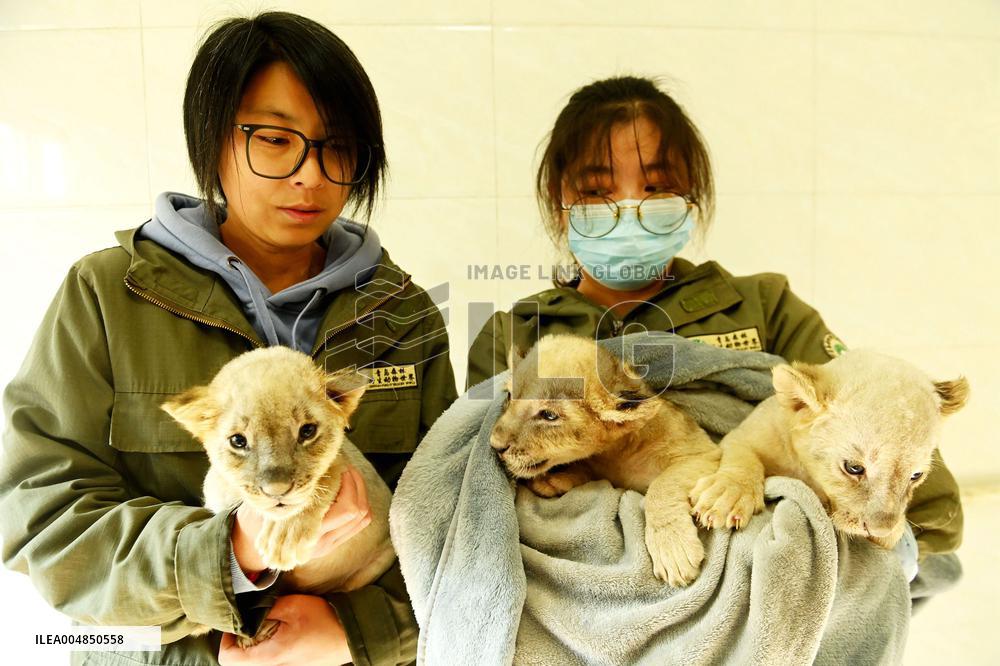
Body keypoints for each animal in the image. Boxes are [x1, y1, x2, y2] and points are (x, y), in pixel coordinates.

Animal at [161, 346, 395, 646]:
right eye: (238, 441)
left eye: (307, 431)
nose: (277, 491)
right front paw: (198, 615)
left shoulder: (345, 463)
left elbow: (325, 477)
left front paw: (284, 540)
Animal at [489, 334, 722, 587]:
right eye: (509, 396)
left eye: (549, 415)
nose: (495, 445)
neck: (618, 452)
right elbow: (587, 471)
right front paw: (553, 481)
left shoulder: (705, 453)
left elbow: (662, 486)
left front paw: (673, 548)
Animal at [689, 350, 969, 549]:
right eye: (854, 468)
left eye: (916, 475)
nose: (881, 531)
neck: (807, 472)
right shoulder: (744, 433)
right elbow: (743, 457)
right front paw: (728, 496)